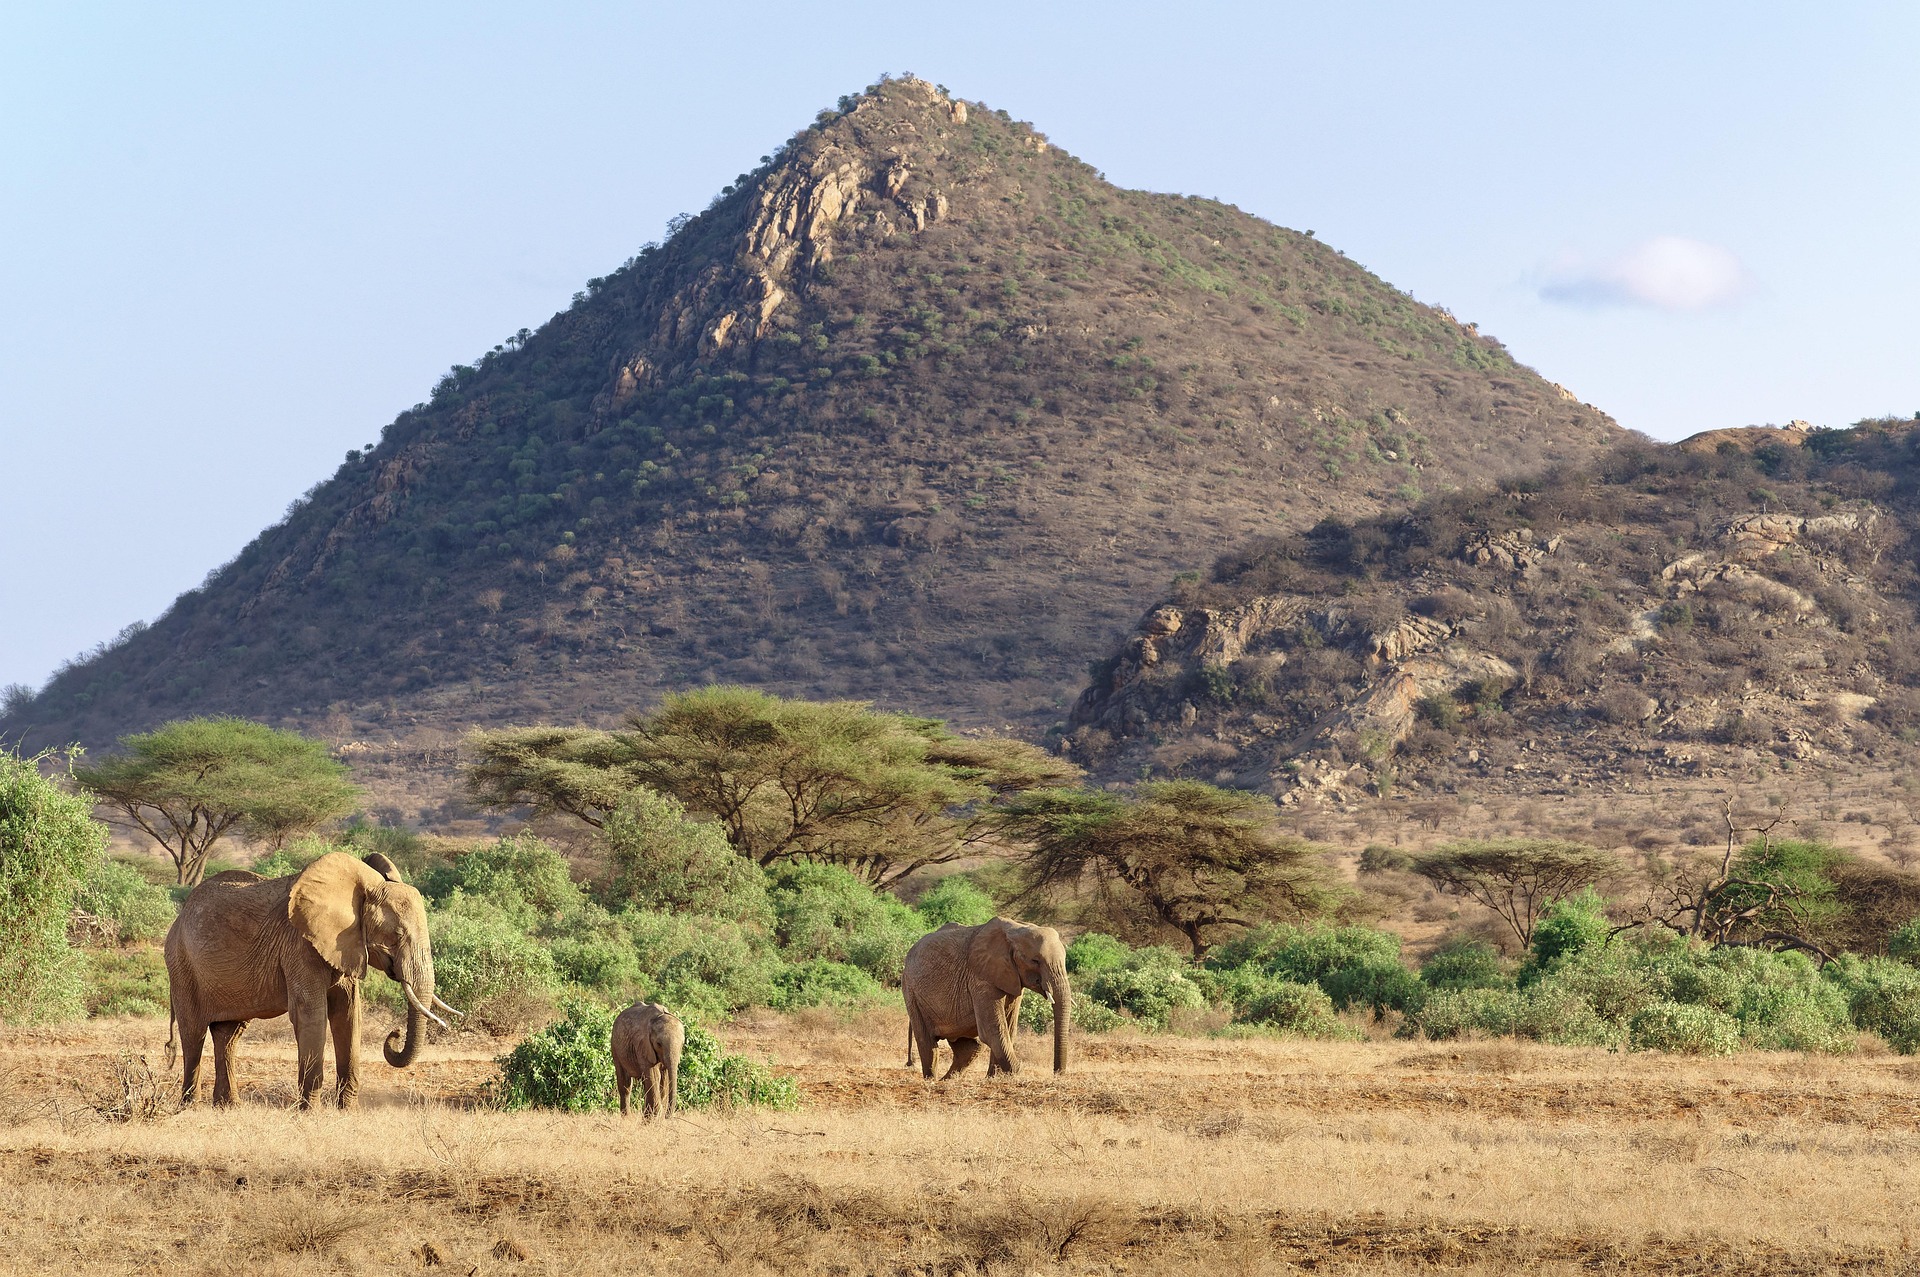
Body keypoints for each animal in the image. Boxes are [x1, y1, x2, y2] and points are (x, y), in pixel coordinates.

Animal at [163, 851, 454, 1109]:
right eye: (396, 935)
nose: (395, 1033)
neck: (361, 887)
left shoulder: (344, 948)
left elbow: (349, 1014)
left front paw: (347, 1111)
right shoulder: (299, 945)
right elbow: (311, 1013)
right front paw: (310, 1111)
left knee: (228, 1034)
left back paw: (228, 1106)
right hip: (181, 964)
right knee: (194, 1034)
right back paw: (190, 1106)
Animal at [902, 918, 1069, 1079]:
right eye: (1035, 960)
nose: (1057, 1074)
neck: (1015, 930)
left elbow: (1008, 1027)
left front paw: (994, 1078)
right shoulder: (980, 978)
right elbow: (992, 1030)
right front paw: (1016, 1074)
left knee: (969, 1048)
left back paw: (947, 1080)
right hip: (911, 992)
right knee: (927, 1043)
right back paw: (932, 1080)